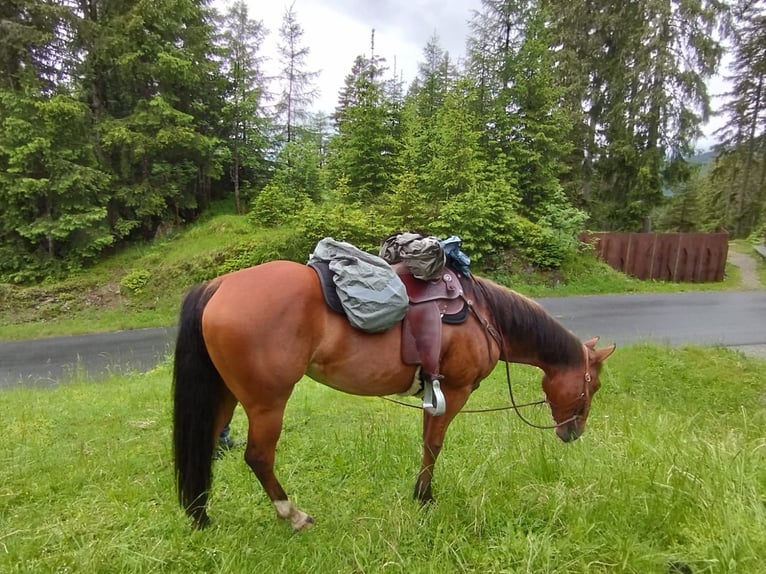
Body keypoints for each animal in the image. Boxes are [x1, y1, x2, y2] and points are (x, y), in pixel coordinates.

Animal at [172, 260, 615, 530]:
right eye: (592, 385)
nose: (572, 432)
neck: (483, 314)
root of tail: (220, 285)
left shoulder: (433, 392)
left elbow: (426, 441)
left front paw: (420, 494)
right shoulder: (453, 391)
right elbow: (434, 444)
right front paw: (425, 498)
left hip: (225, 395)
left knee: (204, 446)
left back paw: (200, 517)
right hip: (267, 403)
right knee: (259, 458)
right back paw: (293, 514)